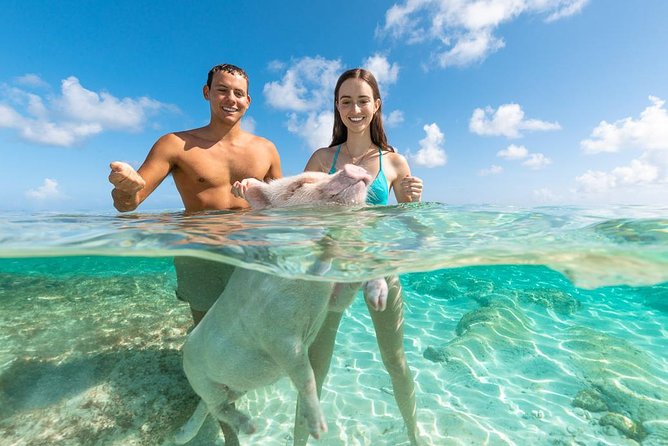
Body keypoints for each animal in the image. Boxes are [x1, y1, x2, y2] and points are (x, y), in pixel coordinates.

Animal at [174, 164, 388, 444]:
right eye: (298, 186)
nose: (352, 166)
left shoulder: (330, 301)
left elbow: (343, 296)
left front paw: (379, 300)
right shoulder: (278, 338)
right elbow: (306, 377)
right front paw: (319, 430)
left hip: (237, 386)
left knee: (216, 406)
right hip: (200, 377)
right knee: (216, 407)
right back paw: (250, 428)